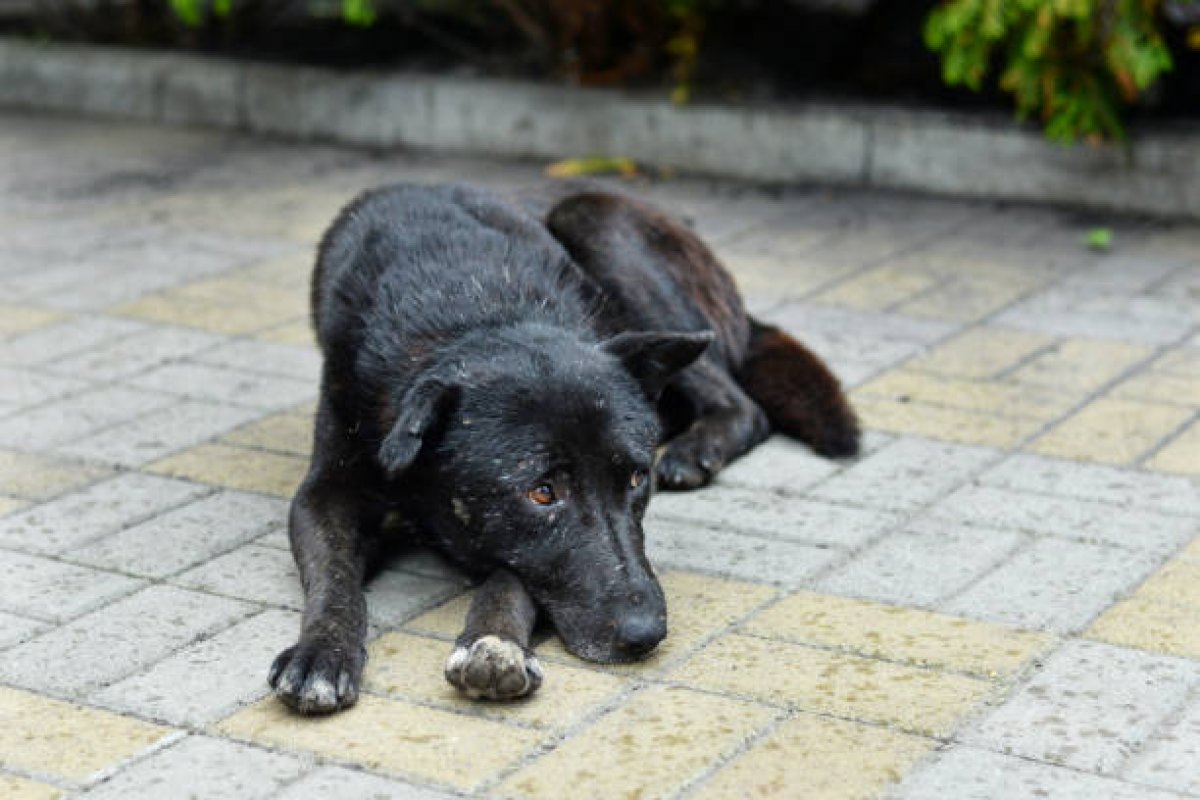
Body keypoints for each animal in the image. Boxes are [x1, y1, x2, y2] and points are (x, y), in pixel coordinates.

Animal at [267, 185, 859, 714]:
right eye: (542, 492)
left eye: (636, 479)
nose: (647, 633)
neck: (476, 308)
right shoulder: (325, 492)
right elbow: (334, 578)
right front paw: (323, 652)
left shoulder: (521, 551)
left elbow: (512, 577)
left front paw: (495, 643)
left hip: (598, 224)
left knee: (744, 405)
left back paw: (696, 449)